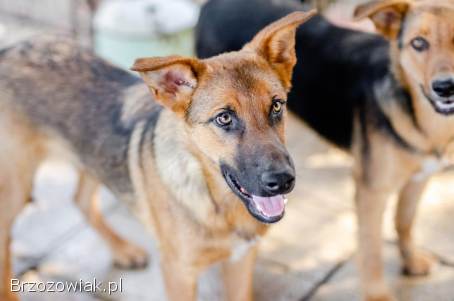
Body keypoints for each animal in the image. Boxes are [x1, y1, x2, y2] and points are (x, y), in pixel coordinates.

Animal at [197, 0, 454, 298]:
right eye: (418, 43)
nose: (446, 87)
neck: (421, 119)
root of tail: (212, 4)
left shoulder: (419, 178)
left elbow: (405, 221)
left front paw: (410, 261)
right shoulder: (371, 191)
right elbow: (371, 249)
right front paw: (377, 294)